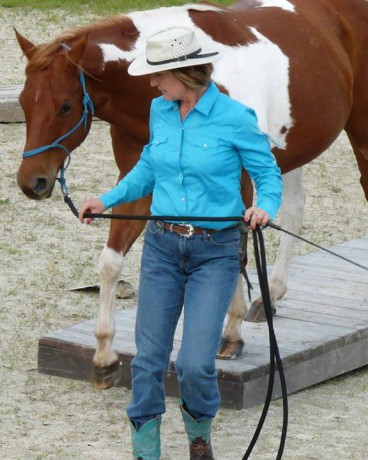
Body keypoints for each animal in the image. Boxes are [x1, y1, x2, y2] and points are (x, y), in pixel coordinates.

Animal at [13, 0, 368, 388]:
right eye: (24, 103)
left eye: (65, 106)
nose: (32, 181)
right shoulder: (140, 180)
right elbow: (110, 263)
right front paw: (104, 355)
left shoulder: (239, 185)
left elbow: (236, 254)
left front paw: (231, 334)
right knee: (294, 209)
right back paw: (270, 296)